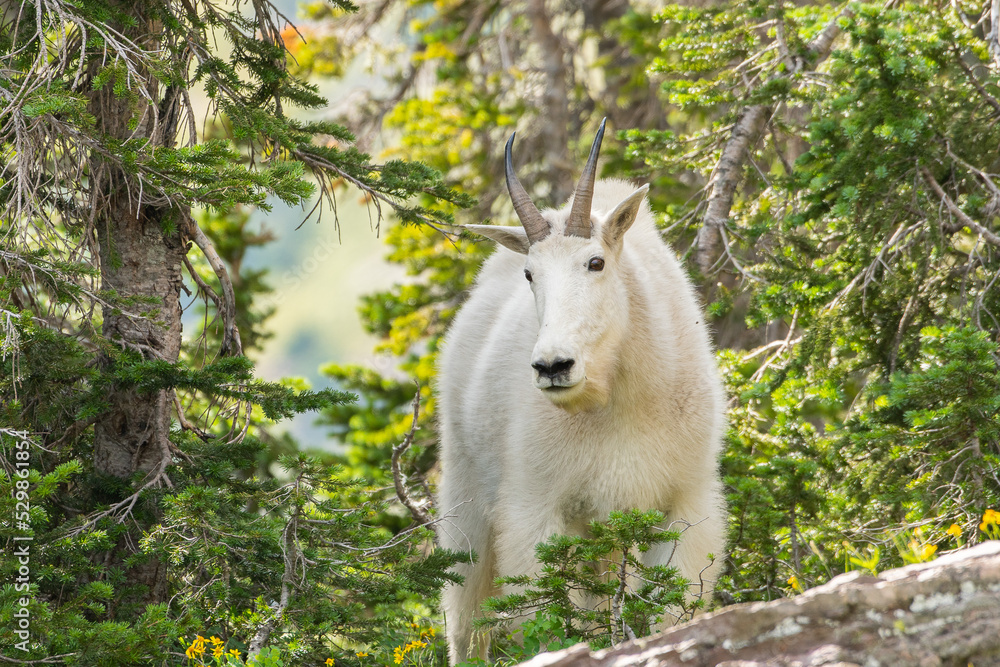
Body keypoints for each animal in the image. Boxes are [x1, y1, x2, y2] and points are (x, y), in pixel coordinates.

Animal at [436, 120, 726, 663]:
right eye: (531, 274)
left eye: (596, 262)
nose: (553, 365)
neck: (617, 401)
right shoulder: (535, 507)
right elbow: (546, 620)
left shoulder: (682, 504)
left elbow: (666, 613)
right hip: (466, 494)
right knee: (464, 621)